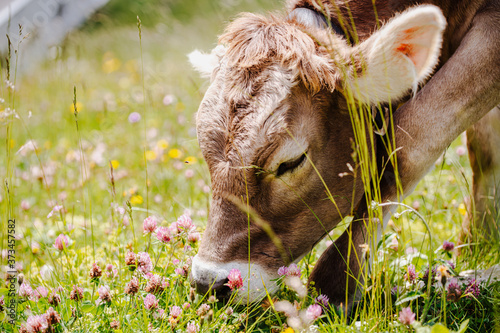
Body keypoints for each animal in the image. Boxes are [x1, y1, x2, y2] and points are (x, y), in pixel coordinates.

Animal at [188, 0, 500, 308]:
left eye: (292, 161)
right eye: (205, 152)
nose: (209, 282)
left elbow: (407, 144)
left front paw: (338, 279)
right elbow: (484, 151)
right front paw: (477, 242)